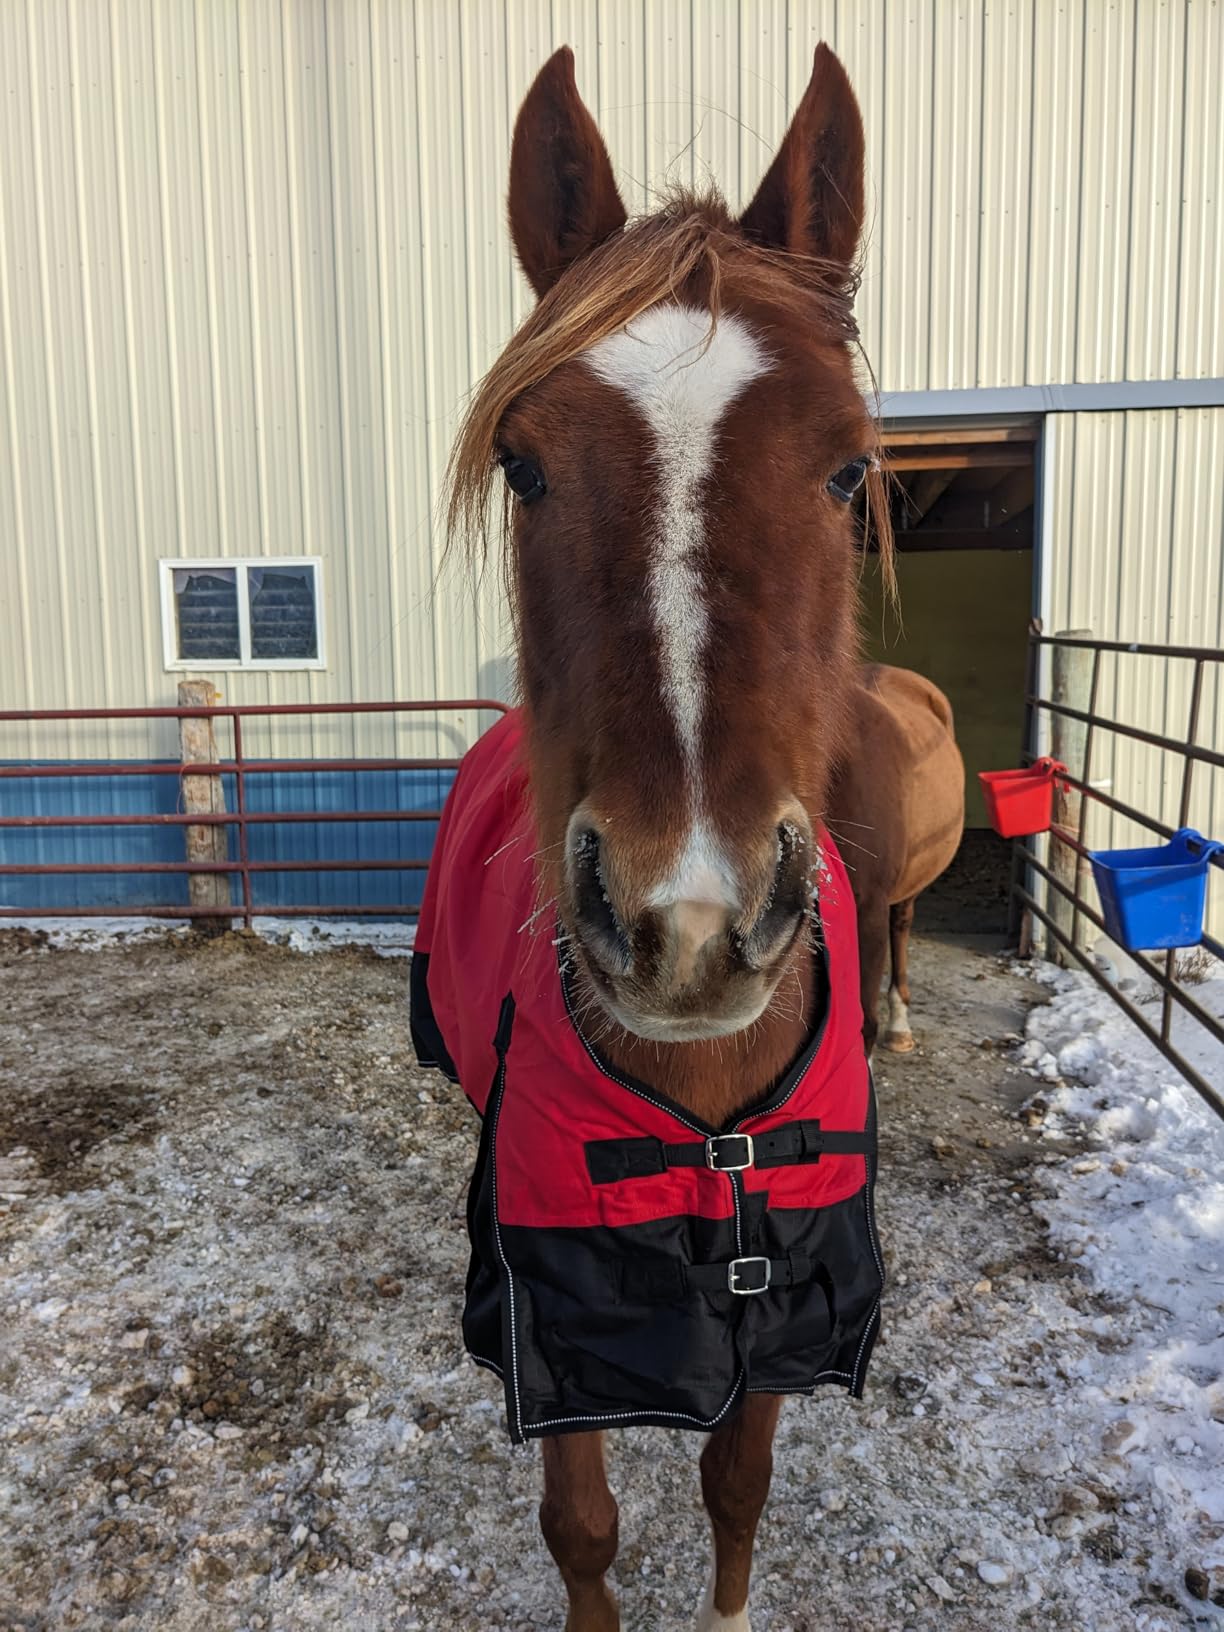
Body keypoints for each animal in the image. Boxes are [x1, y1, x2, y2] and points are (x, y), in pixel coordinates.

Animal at [424, 42, 900, 1632]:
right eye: (522, 466)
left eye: (847, 467)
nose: (685, 924)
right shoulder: (557, 1316)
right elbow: (583, 1527)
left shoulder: (783, 1303)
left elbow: (735, 1486)